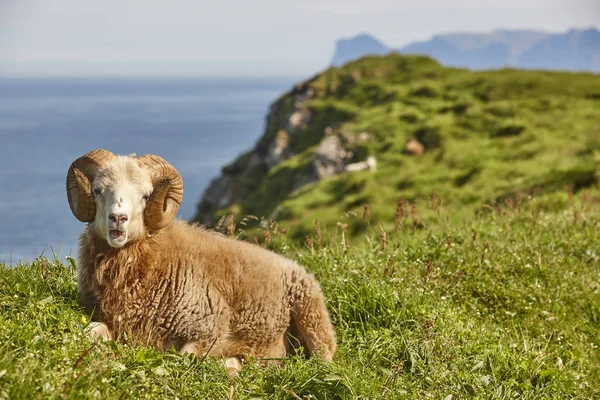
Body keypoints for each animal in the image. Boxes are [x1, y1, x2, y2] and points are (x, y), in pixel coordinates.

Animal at [67, 148, 338, 374]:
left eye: (145, 195)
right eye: (97, 191)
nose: (118, 218)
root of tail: (296, 266)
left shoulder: (211, 327)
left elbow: (185, 357)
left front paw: (230, 362)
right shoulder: (115, 321)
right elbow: (89, 331)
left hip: (313, 319)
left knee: (323, 360)